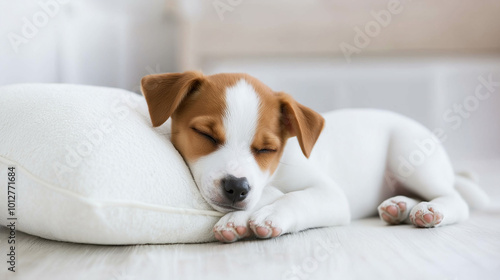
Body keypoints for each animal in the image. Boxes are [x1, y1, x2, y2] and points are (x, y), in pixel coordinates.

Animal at [141, 70, 488, 243]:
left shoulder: (330, 195)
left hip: (411, 157)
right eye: (207, 136)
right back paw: (400, 207)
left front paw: (267, 213)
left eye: (266, 149)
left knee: (454, 198)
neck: (278, 171)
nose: (237, 187)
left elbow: (292, 197)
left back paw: (430, 210)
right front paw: (243, 215)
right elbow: (268, 192)